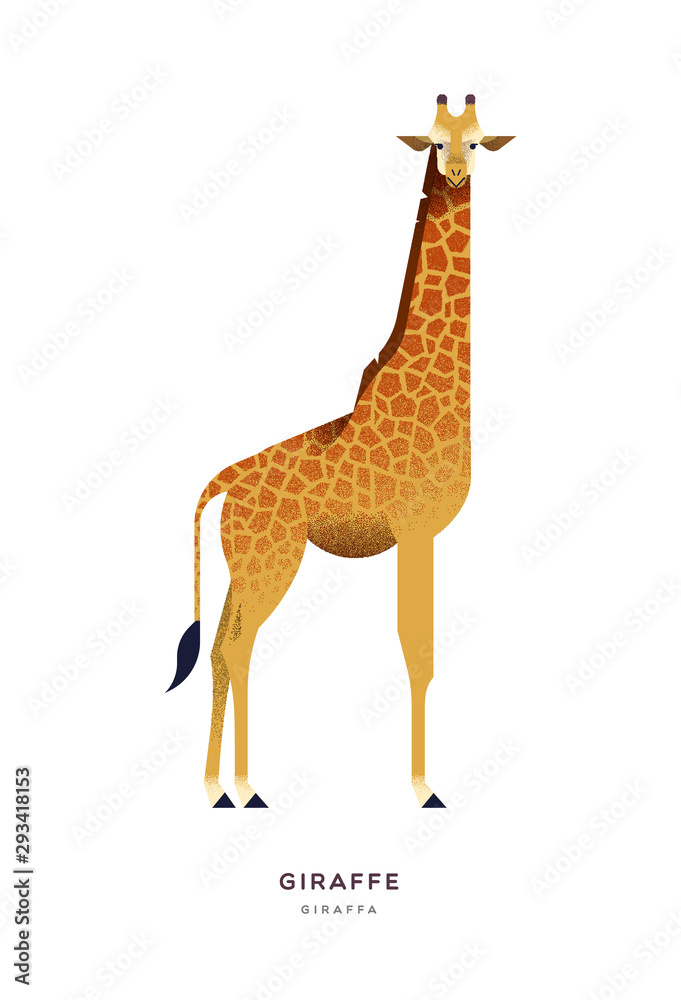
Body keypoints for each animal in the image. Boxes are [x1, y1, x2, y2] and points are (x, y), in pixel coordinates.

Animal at [168, 94, 514, 809]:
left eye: (478, 140)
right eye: (434, 142)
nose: (458, 174)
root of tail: (224, 482)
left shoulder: (420, 535)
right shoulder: (415, 529)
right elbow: (418, 650)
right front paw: (424, 789)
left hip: (248, 564)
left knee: (221, 647)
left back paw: (224, 787)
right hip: (271, 561)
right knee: (237, 647)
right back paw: (239, 787)